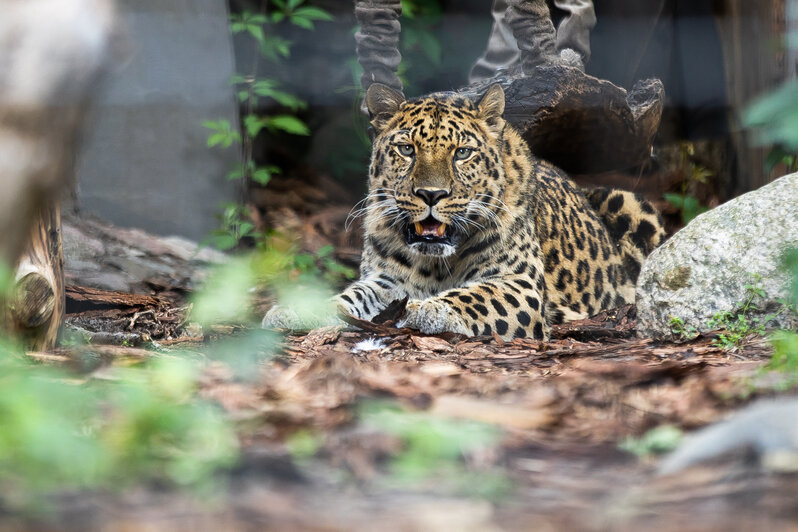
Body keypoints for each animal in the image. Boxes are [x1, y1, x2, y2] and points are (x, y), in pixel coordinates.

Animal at [264, 83, 668, 340]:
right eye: (407, 149)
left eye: (462, 153)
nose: (431, 194)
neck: (435, 263)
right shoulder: (386, 280)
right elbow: (352, 296)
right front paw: (295, 310)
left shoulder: (518, 283)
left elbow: (473, 294)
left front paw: (425, 310)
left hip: (629, 203)